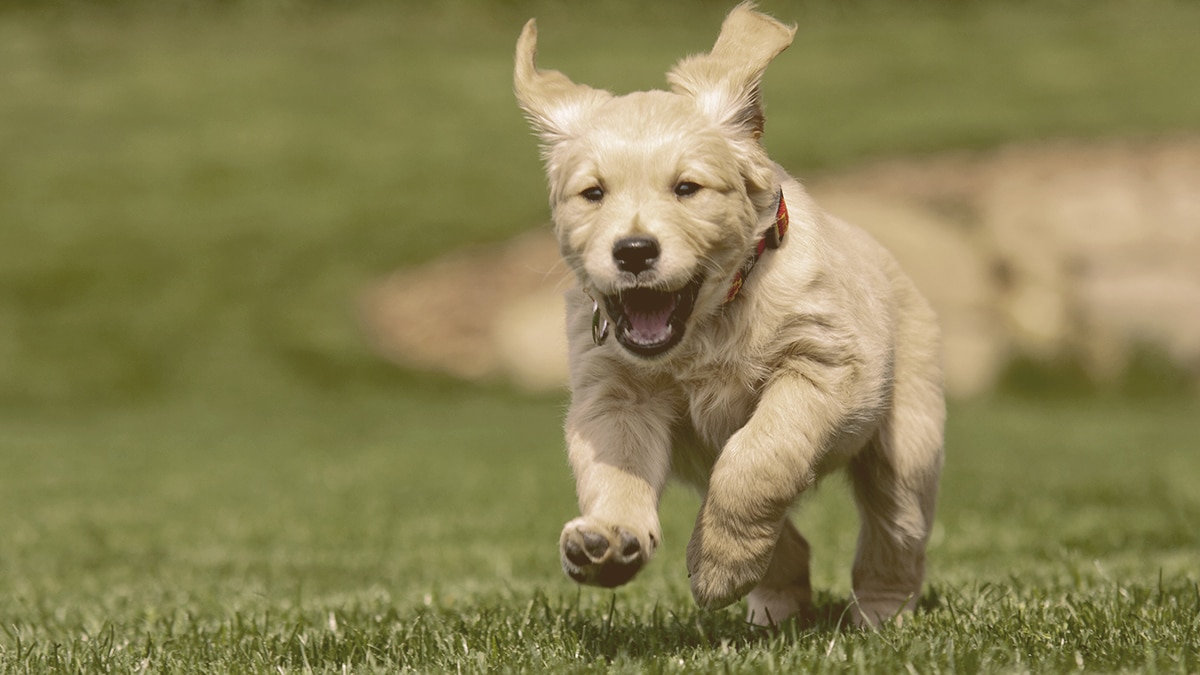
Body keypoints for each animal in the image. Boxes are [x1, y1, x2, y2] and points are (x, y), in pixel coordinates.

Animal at [511, 1, 940, 624]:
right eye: (593, 194)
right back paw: (773, 606)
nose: (633, 251)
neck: (709, 324)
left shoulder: (823, 366)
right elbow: (616, 469)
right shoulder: (615, 395)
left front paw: (718, 568)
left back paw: (879, 616)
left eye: (687, 188)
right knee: (790, 539)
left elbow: (757, 458)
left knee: (895, 531)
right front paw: (610, 539)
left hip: (907, 442)